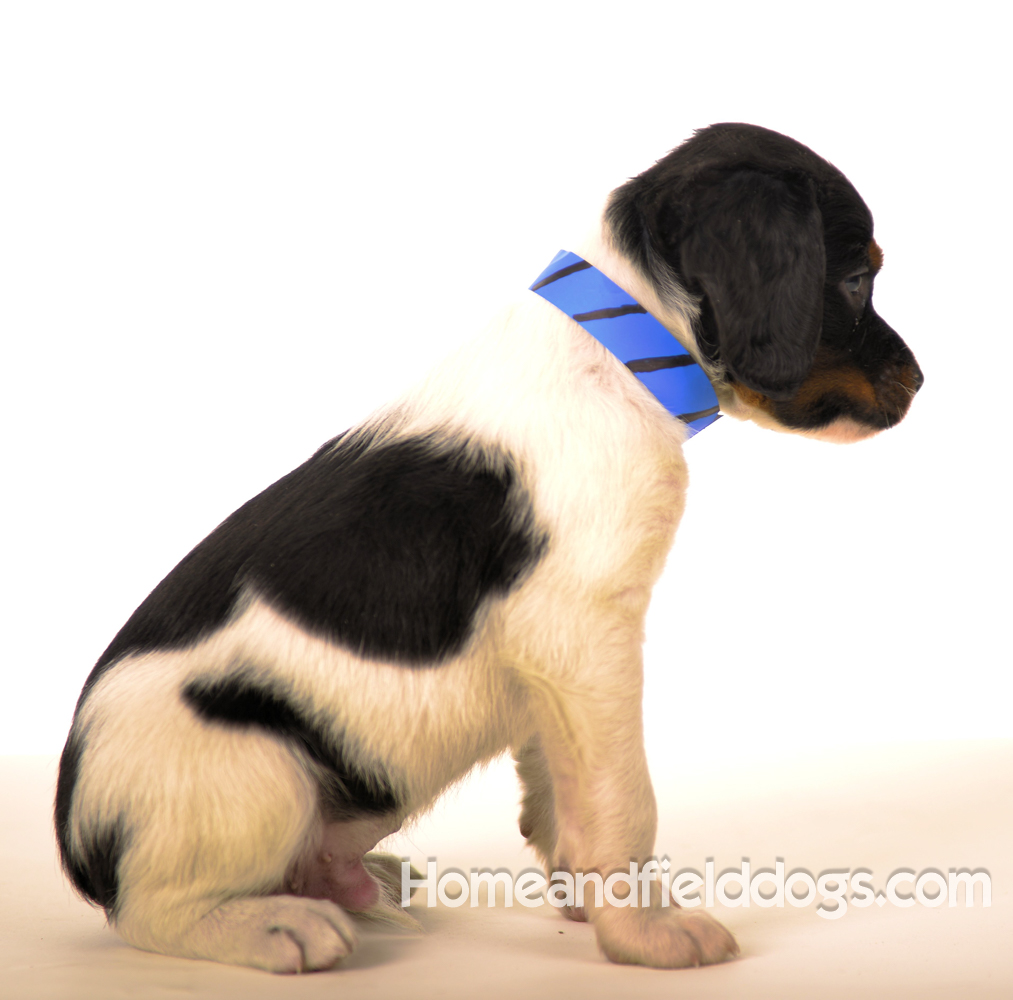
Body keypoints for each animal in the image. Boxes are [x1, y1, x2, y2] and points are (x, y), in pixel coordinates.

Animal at [57, 121, 927, 972]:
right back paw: (277, 927)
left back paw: (355, 884)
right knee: (154, 911)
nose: (919, 382)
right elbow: (623, 799)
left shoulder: (554, 670)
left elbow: (560, 787)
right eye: (855, 279)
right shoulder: (587, 638)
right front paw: (646, 935)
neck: (618, 355)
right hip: (256, 766)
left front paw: (587, 901)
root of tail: (78, 842)